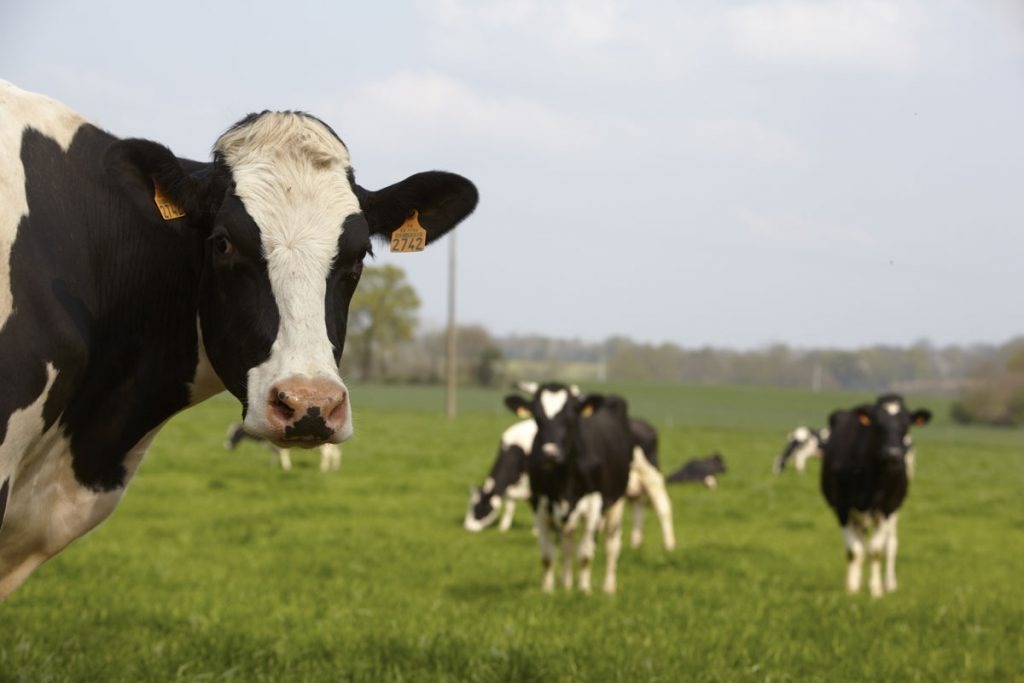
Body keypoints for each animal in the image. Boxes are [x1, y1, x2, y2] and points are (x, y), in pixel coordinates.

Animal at [464, 416, 677, 551]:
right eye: (471, 506)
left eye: (479, 508)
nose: (468, 528)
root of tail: (647, 425)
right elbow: (510, 505)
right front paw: (504, 528)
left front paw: (536, 532)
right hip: (633, 486)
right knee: (637, 509)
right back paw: (635, 544)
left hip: (651, 476)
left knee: (663, 508)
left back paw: (669, 545)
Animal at [504, 383, 634, 594]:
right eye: (537, 418)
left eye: (571, 418)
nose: (550, 454)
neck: (564, 478)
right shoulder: (539, 502)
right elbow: (548, 555)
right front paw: (548, 590)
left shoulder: (594, 503)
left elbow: (585, 554)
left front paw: (584, 591)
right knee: (567, 544)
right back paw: (566, 584)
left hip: (617, 501)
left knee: (611, 545)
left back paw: (608, 587)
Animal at [820, 393, 930, 598]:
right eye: (878, 425)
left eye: (906, 425)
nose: (893, 454)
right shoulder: (842, 508)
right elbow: (854, 551)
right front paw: (852, 588)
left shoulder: (887, 508)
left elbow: (876, 550)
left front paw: (876, 590)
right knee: (860, 543)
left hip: (894, 511)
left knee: (890, 544)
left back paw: (890, 584)